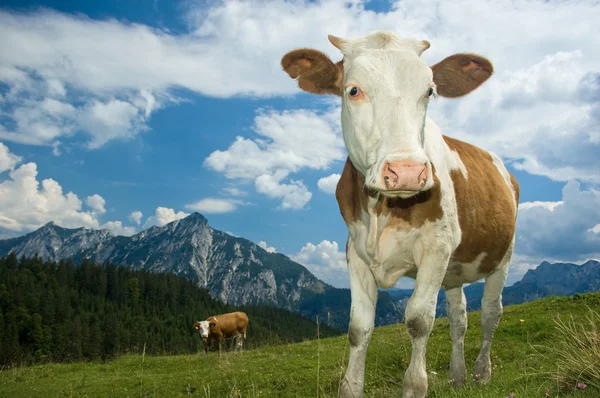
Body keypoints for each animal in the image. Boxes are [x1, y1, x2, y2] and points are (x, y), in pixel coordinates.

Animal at [282, 31, 520, 398]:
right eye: (353, 90)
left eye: (429, 91)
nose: (407, 171)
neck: (383, 208)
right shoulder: (355, 252)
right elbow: (358, 327)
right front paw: (350, 387)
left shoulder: (436, 248)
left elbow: (419, 319)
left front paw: (415, 386)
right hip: (454, 269)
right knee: (459, 317)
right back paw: (458, 376)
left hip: (502, 256)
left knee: (491, 313)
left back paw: (482, 373)